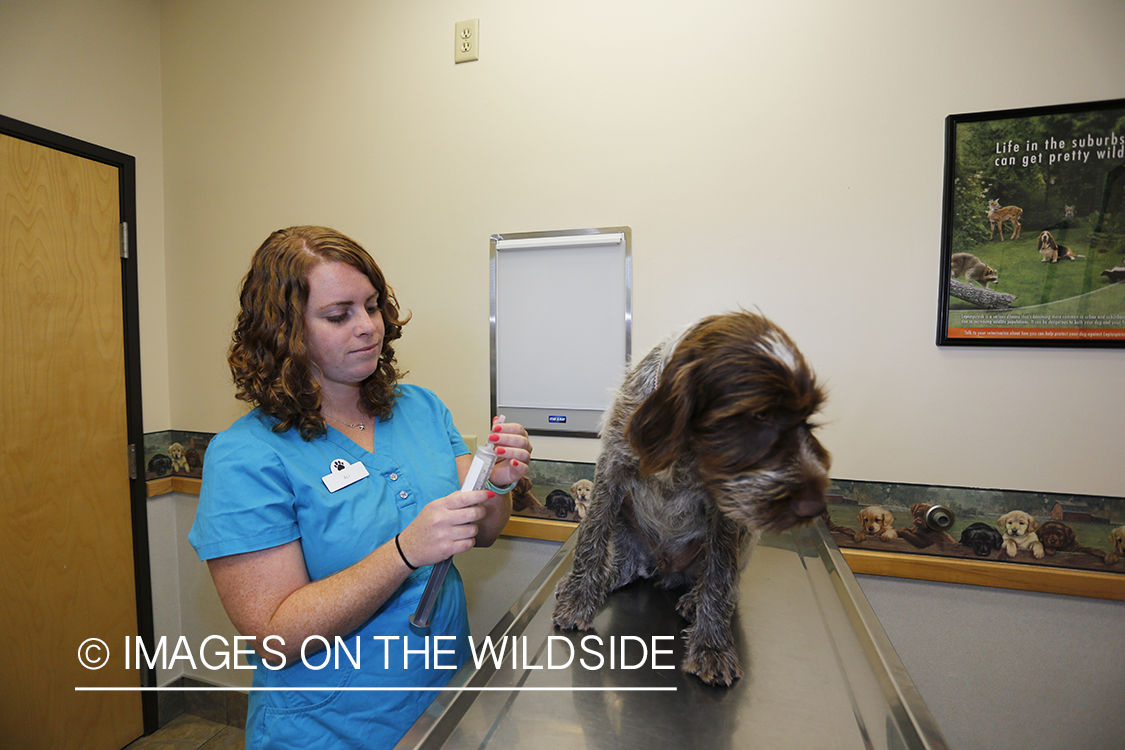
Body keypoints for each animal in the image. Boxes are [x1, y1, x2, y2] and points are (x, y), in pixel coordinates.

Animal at [549, 310, 832, 688]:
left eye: (807, 419)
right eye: (760, 415)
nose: (816, 506)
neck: (685, 447)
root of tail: (664, 569)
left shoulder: (728, 504)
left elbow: (720, 574)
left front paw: (712, 646)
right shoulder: (612, 468)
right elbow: (591, 538)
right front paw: (579, 598)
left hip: (746, 533)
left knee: (727, 582)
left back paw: (696, 600)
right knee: (625, 565)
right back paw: (604, 578)